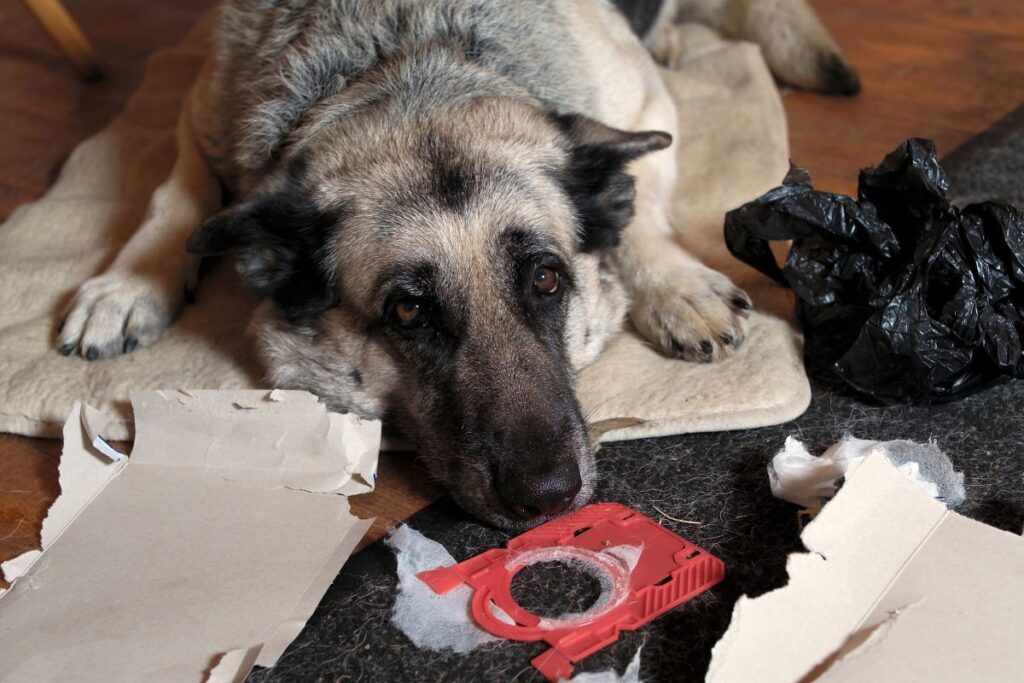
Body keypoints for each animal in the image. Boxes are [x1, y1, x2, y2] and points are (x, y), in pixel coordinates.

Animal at [56, 0, 856, 532]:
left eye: (545, 279)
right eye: (408, 310)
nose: (549, 496)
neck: (407, 52)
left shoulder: (645, 108)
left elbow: (637, 208)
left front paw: (674, 284)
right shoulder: (201, 117)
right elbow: (175, 193)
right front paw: (127, 284)